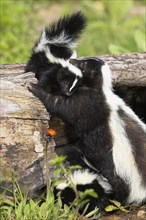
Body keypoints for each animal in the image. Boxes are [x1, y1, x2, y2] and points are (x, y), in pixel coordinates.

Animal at [28, 57, 146, 208]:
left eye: (83, 64)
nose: (72, 60)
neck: (99, 89)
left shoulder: (87, 104)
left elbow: (61, 105)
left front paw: (34, 87)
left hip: (118, 171)